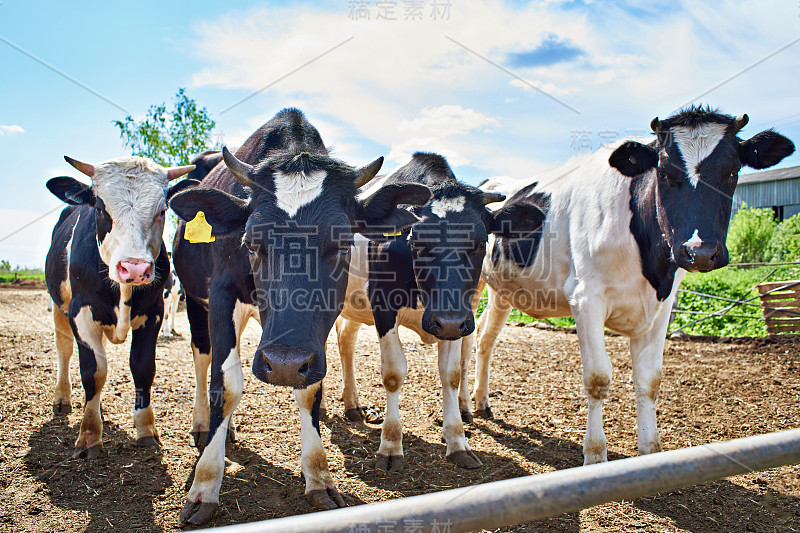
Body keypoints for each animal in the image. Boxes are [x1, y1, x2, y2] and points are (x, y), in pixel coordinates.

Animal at [169, 107, 432, 524]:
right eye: (251, 241)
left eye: (343, 243)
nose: (284, 363)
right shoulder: (221, 296)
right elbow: (225, 384)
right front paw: (205, 484)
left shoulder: (312, 338)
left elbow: (310, 389)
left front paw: (319, 475)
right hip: (197, 302)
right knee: (202, 356)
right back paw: (203, 424)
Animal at [338, 151, 544, 470]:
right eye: (418, 242)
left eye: (480, 242)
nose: (446, 321)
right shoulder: (383, 303)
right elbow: (394, 372)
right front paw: (390, 446)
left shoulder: (458, 319)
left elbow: (451, 373)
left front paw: (458, 441)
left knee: (346, 340)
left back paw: (353, 404)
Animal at [472, 106, 792, 464]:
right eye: (663, 172)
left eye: (734, 171)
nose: (699, 251)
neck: (650, 265)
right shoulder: (586, 299)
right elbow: (598, 377)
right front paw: (595, 455)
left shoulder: (661, 307)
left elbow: (649, 380)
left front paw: (650, 451)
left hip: (503, 290)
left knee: (485, 337)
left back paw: (480, 401)